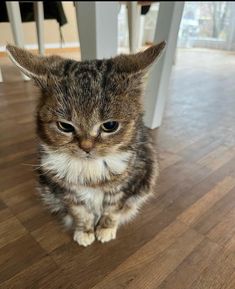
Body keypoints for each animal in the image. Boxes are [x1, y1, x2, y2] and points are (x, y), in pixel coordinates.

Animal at [6, 41, 165, 245]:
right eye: (65, 126)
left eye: (110, 125)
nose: (86, 147)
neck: (91, 171)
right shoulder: (66, 193)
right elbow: (81, 213)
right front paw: (85, 232)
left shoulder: (128, 185)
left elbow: (112, 211)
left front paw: (105, 229)